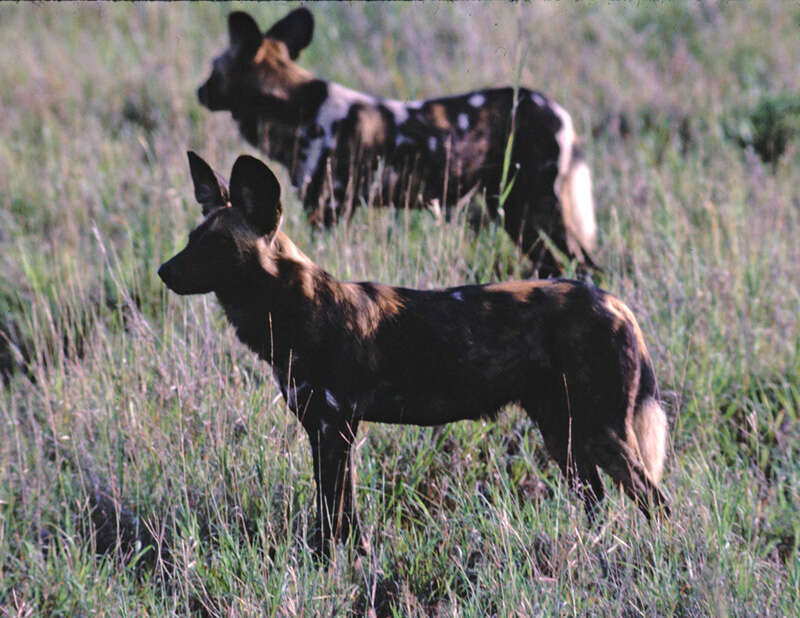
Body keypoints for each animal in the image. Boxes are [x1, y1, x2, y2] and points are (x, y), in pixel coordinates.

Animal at [158, 150, 668, 560]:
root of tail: (614, 302)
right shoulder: (321, 430)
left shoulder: (335, 428)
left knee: (656, 501)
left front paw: (334, 566)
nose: (164, 270)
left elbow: (336, 515)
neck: (297, 309)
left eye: (217, 244)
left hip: (602, 433)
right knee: (598, 502)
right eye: (191, 237)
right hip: (564, 435)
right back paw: (593, 549)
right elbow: (336, 513)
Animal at [197, 8, 596, 274]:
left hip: (533, 212)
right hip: (516, 213)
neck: (295, 109)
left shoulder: (327, 210)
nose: (199, 91)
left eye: (214, 70)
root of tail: (555, 109)